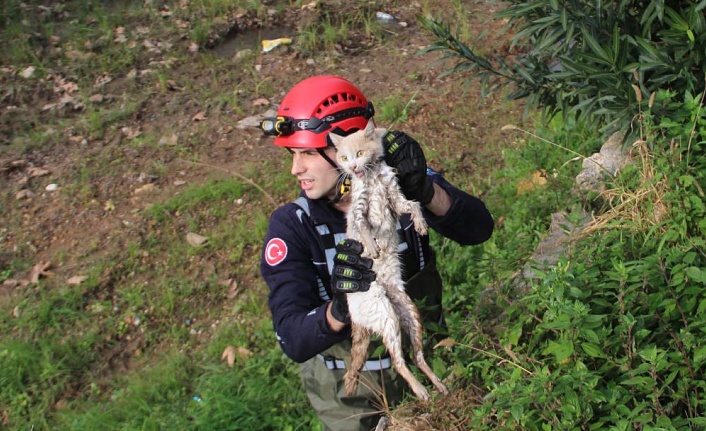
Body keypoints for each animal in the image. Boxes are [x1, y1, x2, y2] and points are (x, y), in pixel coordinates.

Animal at [328, 119, 448, 402]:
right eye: (343, 157)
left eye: (359, 153)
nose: (352, 167)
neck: (372, 178)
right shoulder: (359, 207)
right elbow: (361, 226)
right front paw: (371, 247)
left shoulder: (395, 197)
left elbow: (414, 205)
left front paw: (421, 224)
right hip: (386, 315)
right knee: (398, 362)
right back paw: (421, 391)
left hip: (410, 313)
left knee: (416, 356)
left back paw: (437, 385)